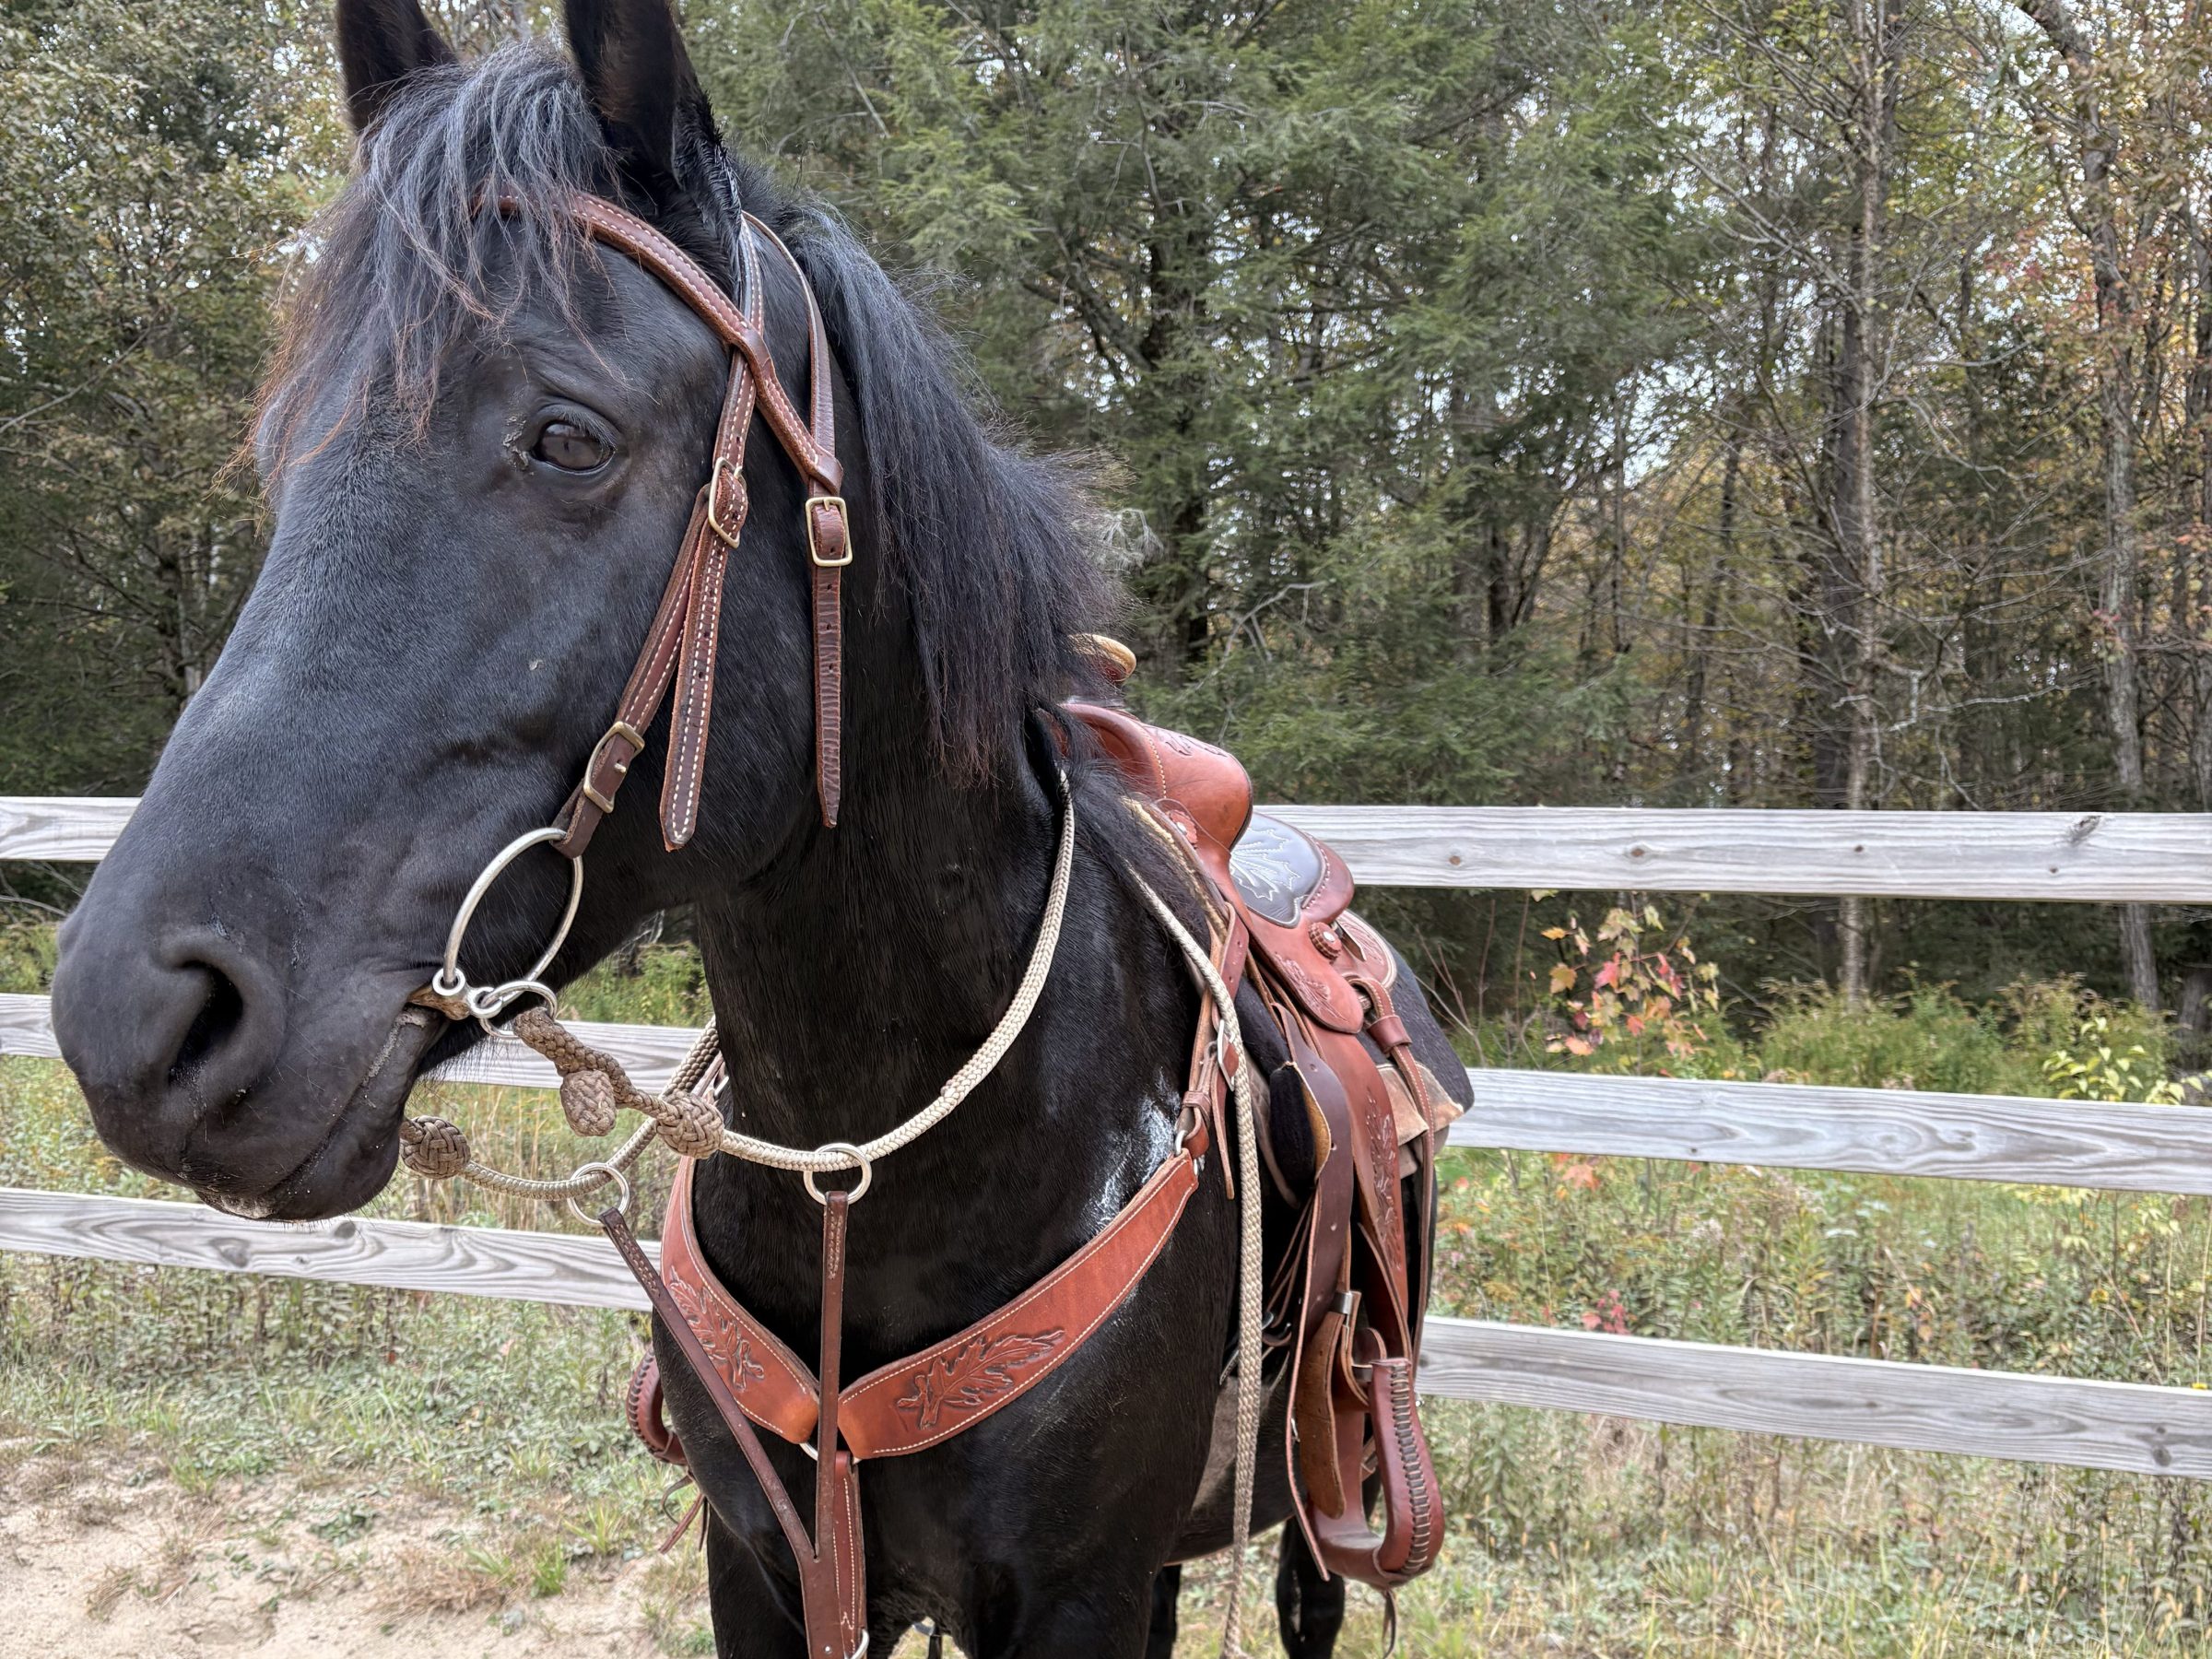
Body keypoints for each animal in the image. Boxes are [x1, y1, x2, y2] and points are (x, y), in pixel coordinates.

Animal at [49, 2, 1471, 1653]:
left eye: (568, 437)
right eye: (285, 452)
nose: (136, 1014)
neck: (881, 1163)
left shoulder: (1082, 1596)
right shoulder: (763, 1565)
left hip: (1306, 1526)